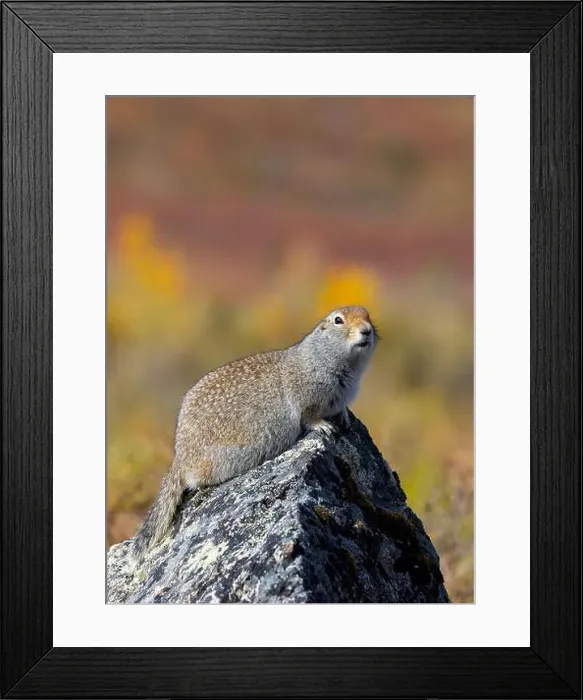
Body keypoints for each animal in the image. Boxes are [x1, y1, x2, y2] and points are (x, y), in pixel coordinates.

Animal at [132, 305, 378, 560]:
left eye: (368, 315)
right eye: (338, 320)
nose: (367, 330)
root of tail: (180, 457)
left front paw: (344, 416)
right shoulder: (307, 396)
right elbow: (308, 416)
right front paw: (324, 426)